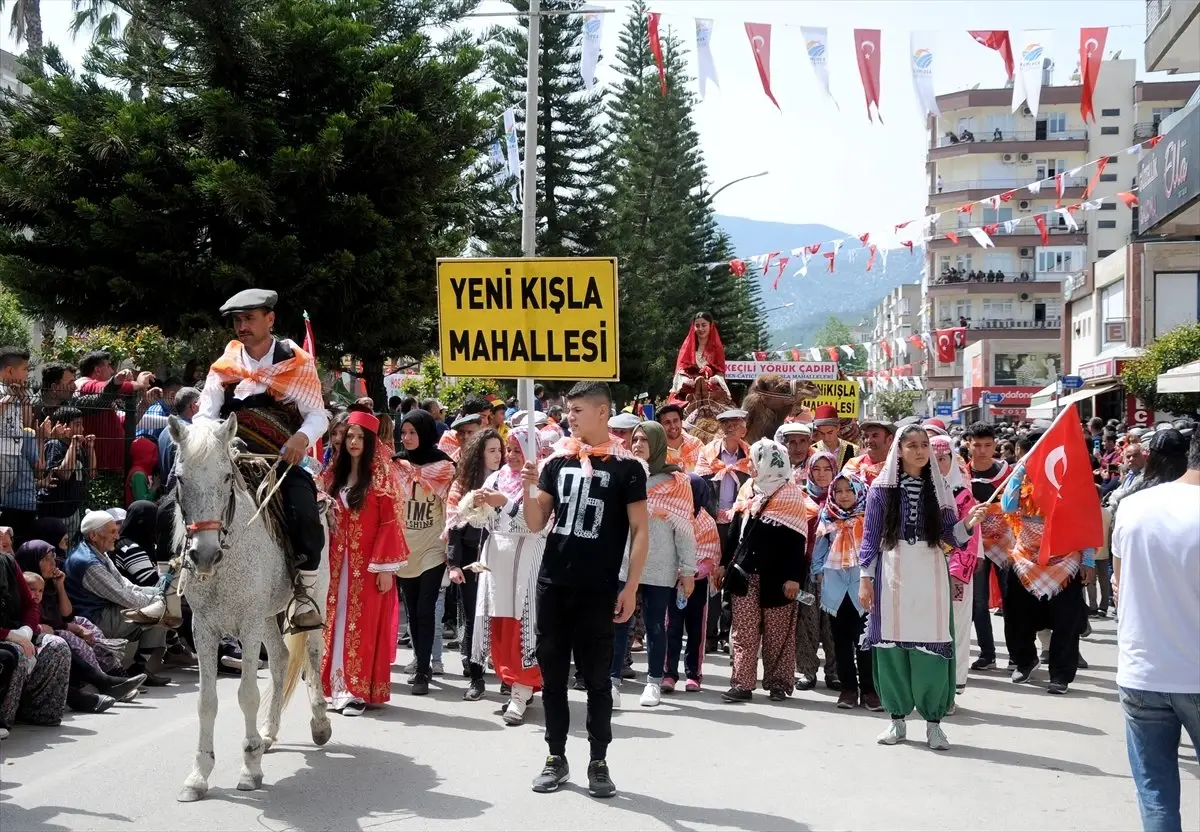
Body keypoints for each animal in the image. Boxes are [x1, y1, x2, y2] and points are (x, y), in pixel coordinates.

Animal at [166, 412, 331, 801]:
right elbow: (206, 701)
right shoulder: (204, 629)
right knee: (281, 659)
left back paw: (319, 724)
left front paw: (249, 769)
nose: (204, 555)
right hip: (268, 616)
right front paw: (199, 775)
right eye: (180, 478)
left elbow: (247, 695)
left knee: (313, 653)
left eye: (226, 477)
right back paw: (268, 734)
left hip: (313, 598)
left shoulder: (249, 624)